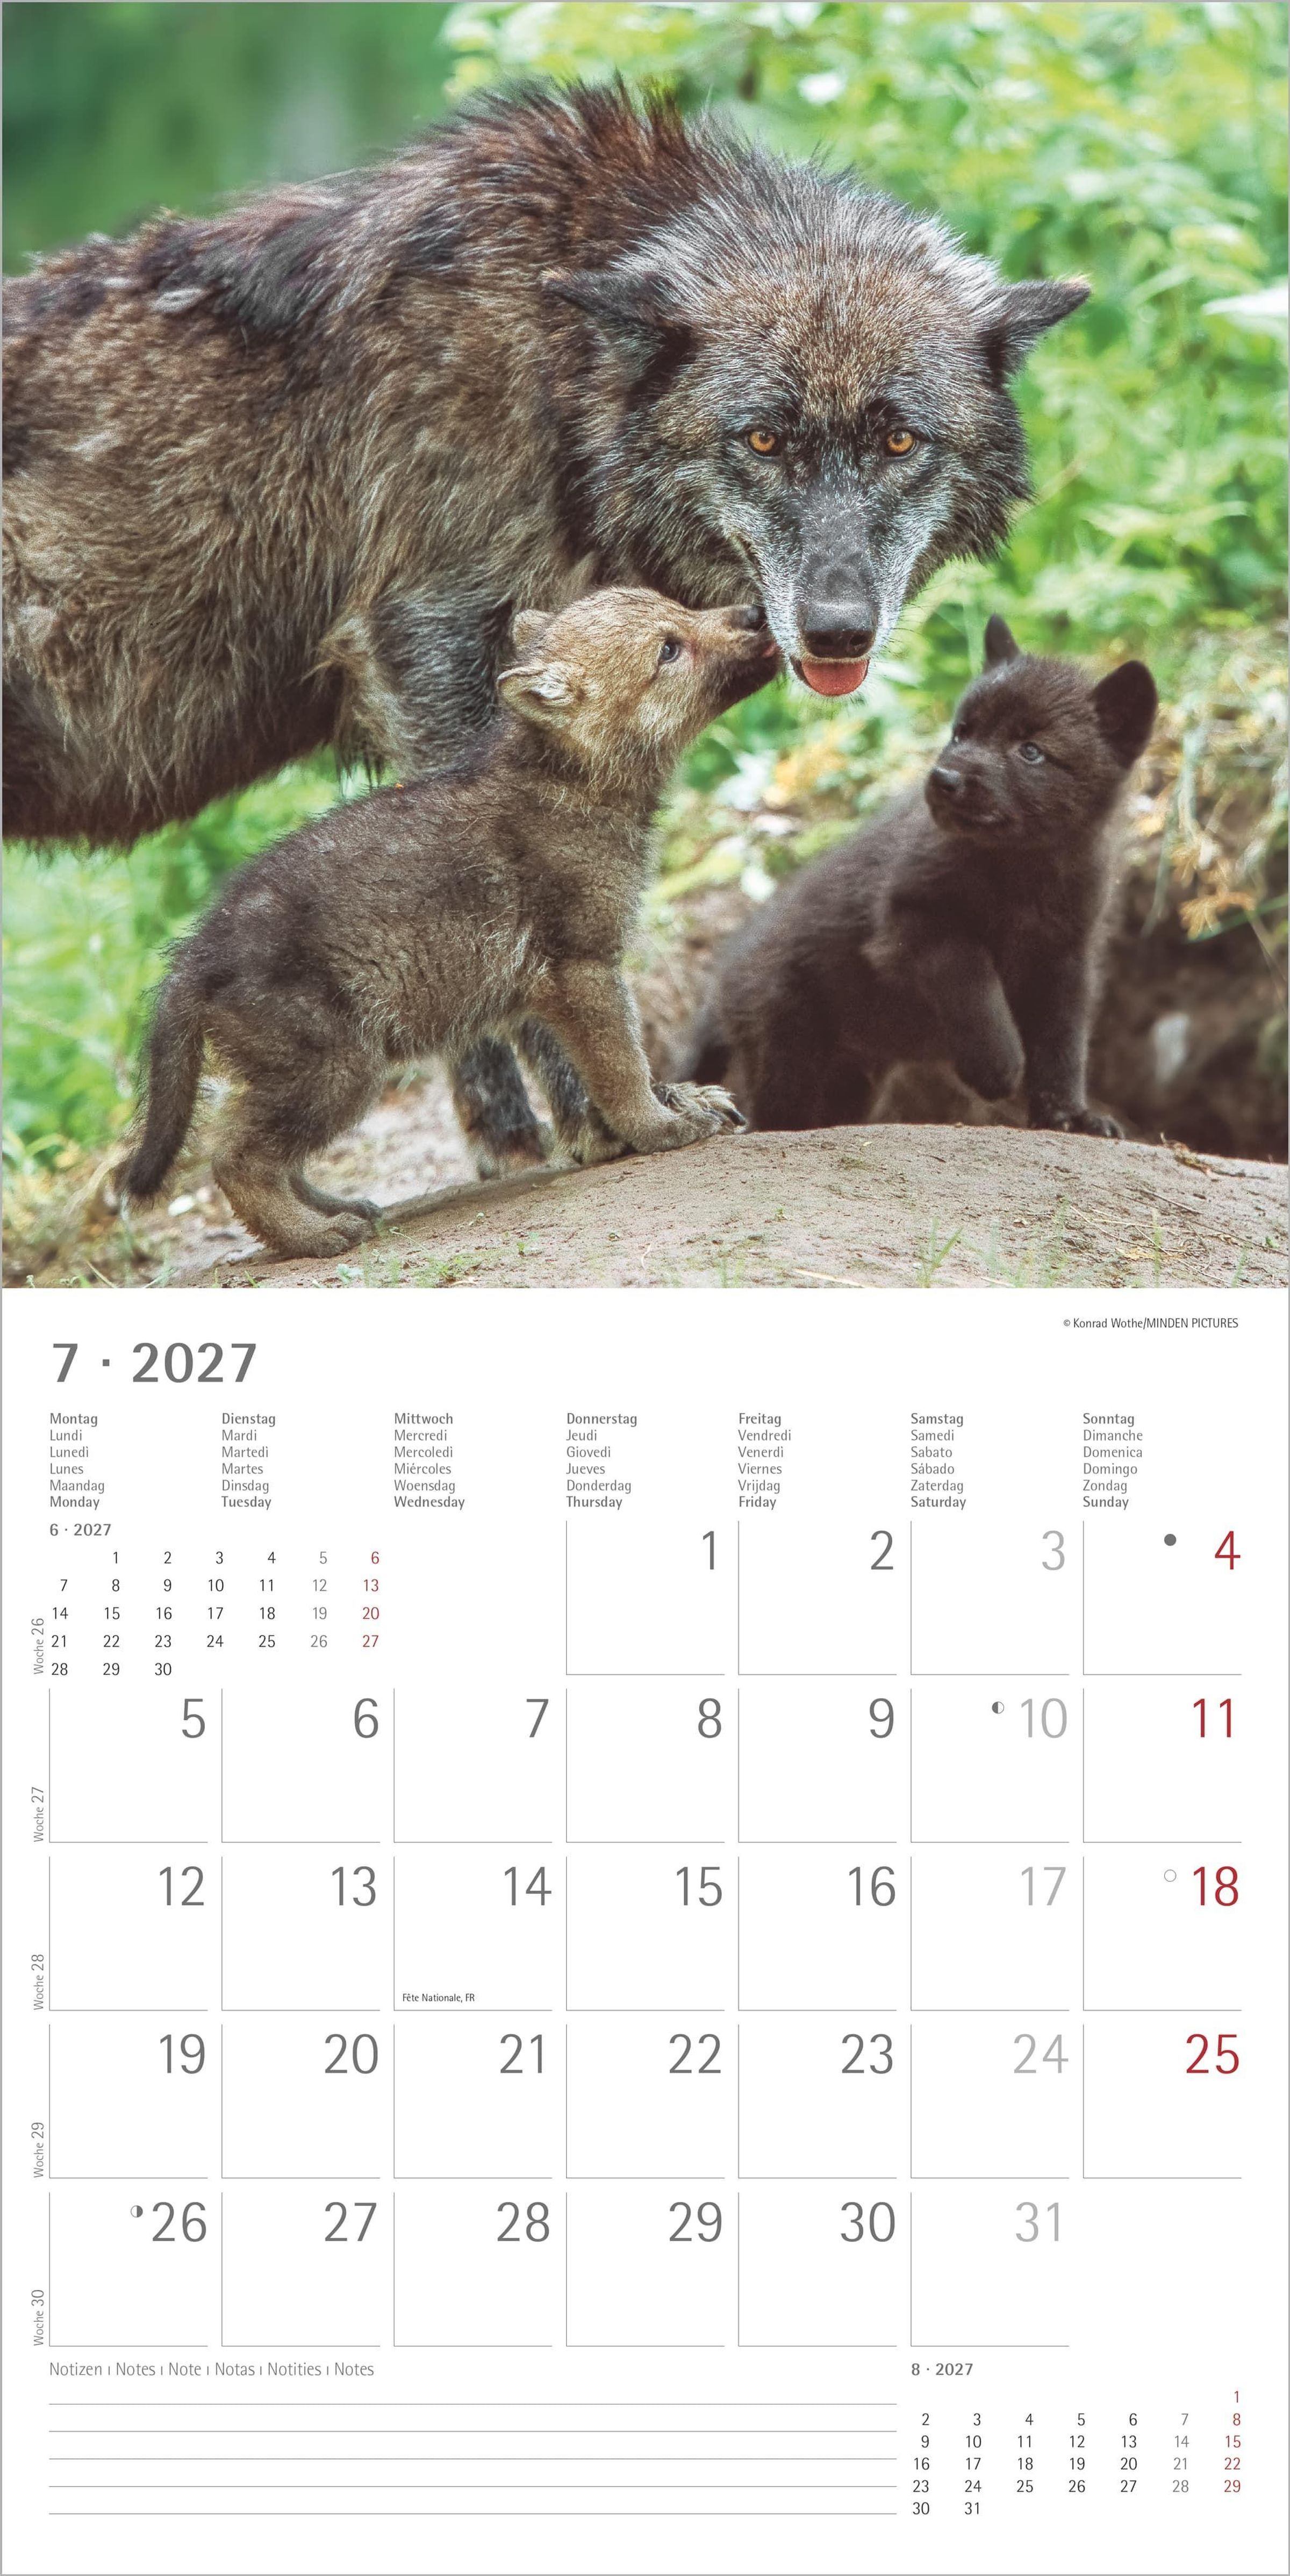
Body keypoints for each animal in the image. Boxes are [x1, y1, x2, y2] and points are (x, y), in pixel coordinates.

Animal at [5, 80, 1088, 1171]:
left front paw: (519, 1127)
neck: (554, 370)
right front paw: (597, 1120)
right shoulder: (426, 647)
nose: (837, 631)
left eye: (900, 440)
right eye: (762, 440)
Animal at [116, 590, 772, 1257]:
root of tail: (192, 957)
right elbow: (620, 1067)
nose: (754, 613)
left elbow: (594, 1069)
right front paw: (659, 1126)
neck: (567, 784)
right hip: (337, 1070)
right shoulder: (582, 970)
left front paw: (669, 1107)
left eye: (680, 607)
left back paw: (337, 1209)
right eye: (668, 649)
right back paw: (317, 1235)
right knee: (236, 1158)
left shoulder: (553, 991)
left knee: (273, 1157)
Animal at [686, 617, 1158, 1135]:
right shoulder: (915, 919)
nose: (944, 780)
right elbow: (974, 984)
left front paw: (1070, 1117)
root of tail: (723, 978)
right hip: (789, 1054)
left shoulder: (1066, 959)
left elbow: (1063, 1048)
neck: (1023, 869)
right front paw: (997, 1067)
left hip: (849, 1082)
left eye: (1031, 751)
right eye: (961, 732)